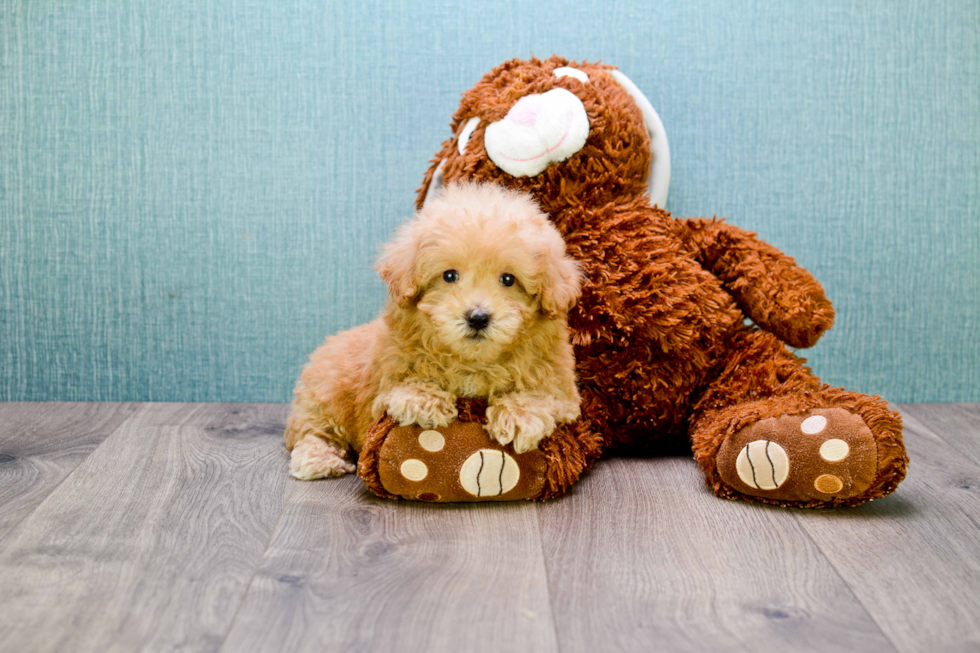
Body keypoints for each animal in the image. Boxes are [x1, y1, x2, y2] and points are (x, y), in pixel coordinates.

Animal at [288, 182, 584, 478]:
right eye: (449, 275)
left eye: (508, 280)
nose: (478, 317)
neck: (472, 361)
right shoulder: (382, 383)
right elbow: (400, 387)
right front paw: (424, 400)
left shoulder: (563, 390)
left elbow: (547, 397)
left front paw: (519, 416)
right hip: (323, 395)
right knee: (312, 431)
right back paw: (319, 458)